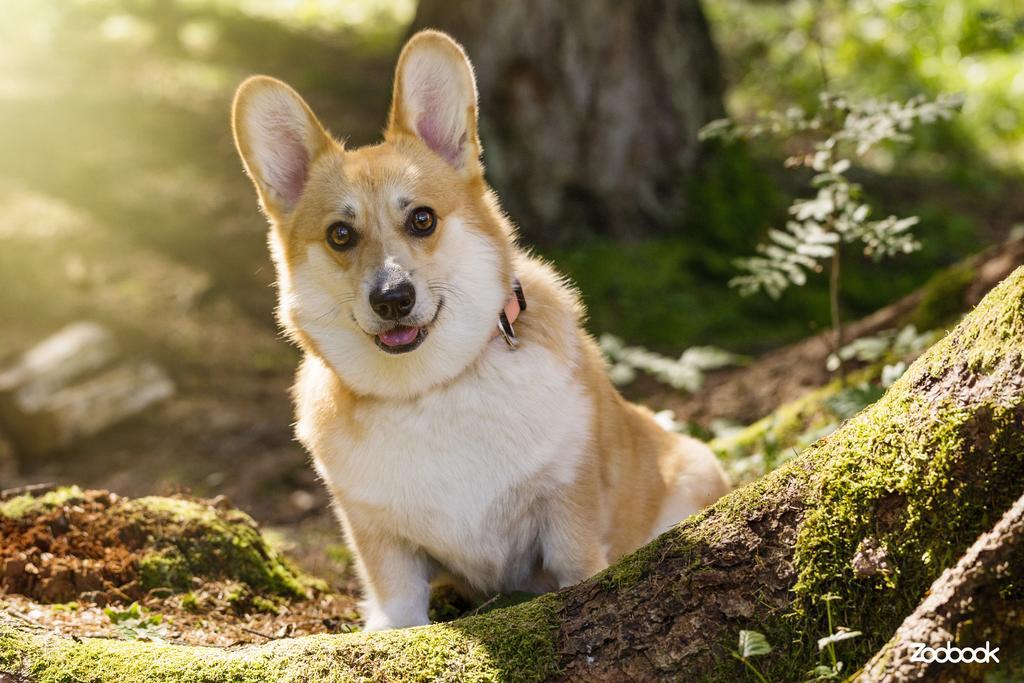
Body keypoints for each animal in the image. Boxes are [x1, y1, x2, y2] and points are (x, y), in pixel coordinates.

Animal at [232, 30, 729, 630]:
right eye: (340, 235)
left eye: (422, 219)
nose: (393, 300)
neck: (431, 388)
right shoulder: (382, 544)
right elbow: (399, 611)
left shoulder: (568, 512)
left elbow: (577, 568)